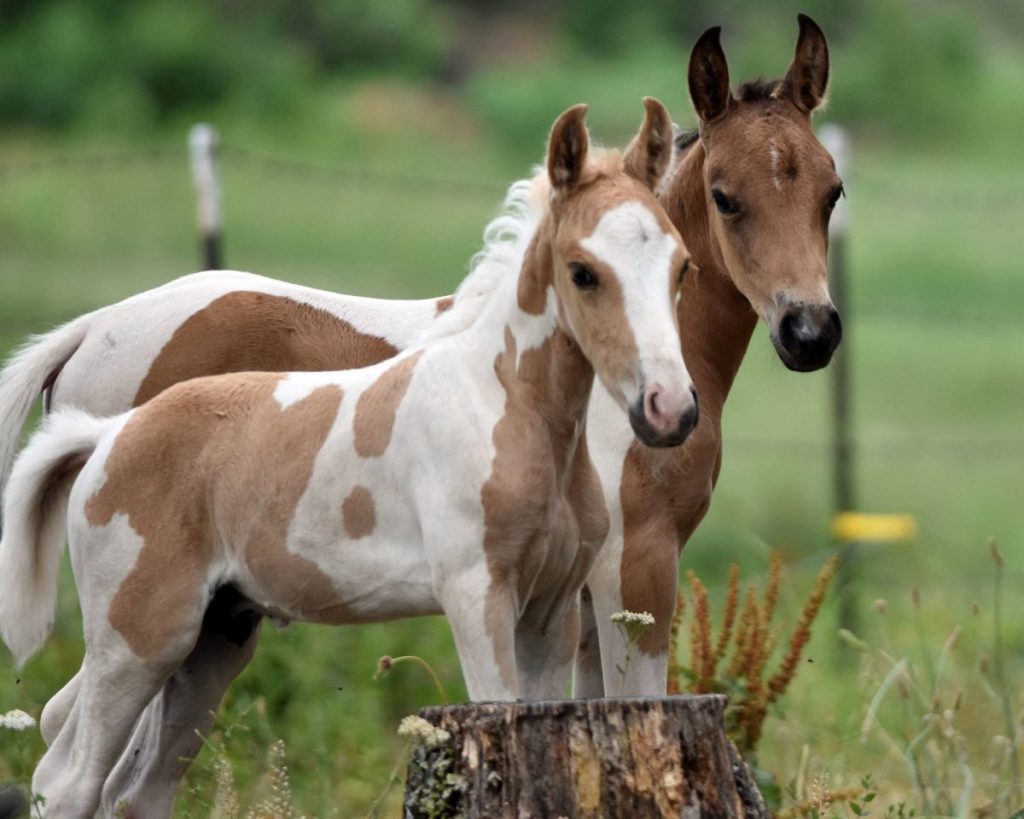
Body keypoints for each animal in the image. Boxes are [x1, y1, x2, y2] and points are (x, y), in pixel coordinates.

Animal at [0, 102, 696, 818]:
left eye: (682, 267)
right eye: (583, 271)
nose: (668, 408)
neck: (503, 404)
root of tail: (108, 435)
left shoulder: (550, 614)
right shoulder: (478, 597)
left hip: (213, 640)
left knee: (138, 790)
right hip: (137, 638)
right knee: (69, 779)